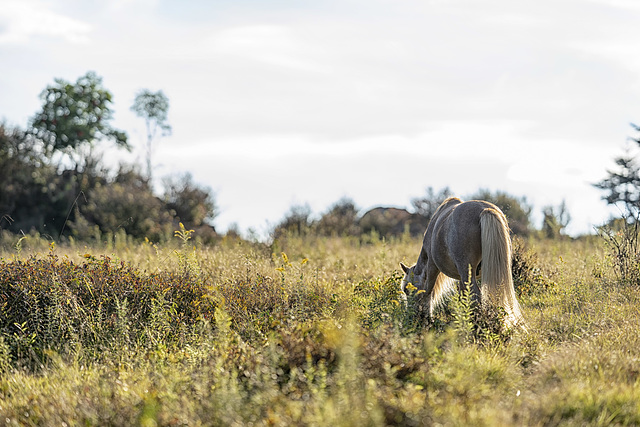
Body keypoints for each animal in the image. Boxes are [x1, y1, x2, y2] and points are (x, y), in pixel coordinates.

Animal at [400, 197, 524, 328]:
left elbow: (428, 292)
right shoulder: (460, 277)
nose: (411, 316)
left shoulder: (432, 267)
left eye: (406, 290)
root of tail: (484, 210)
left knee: (476, 296)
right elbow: (462, 296)